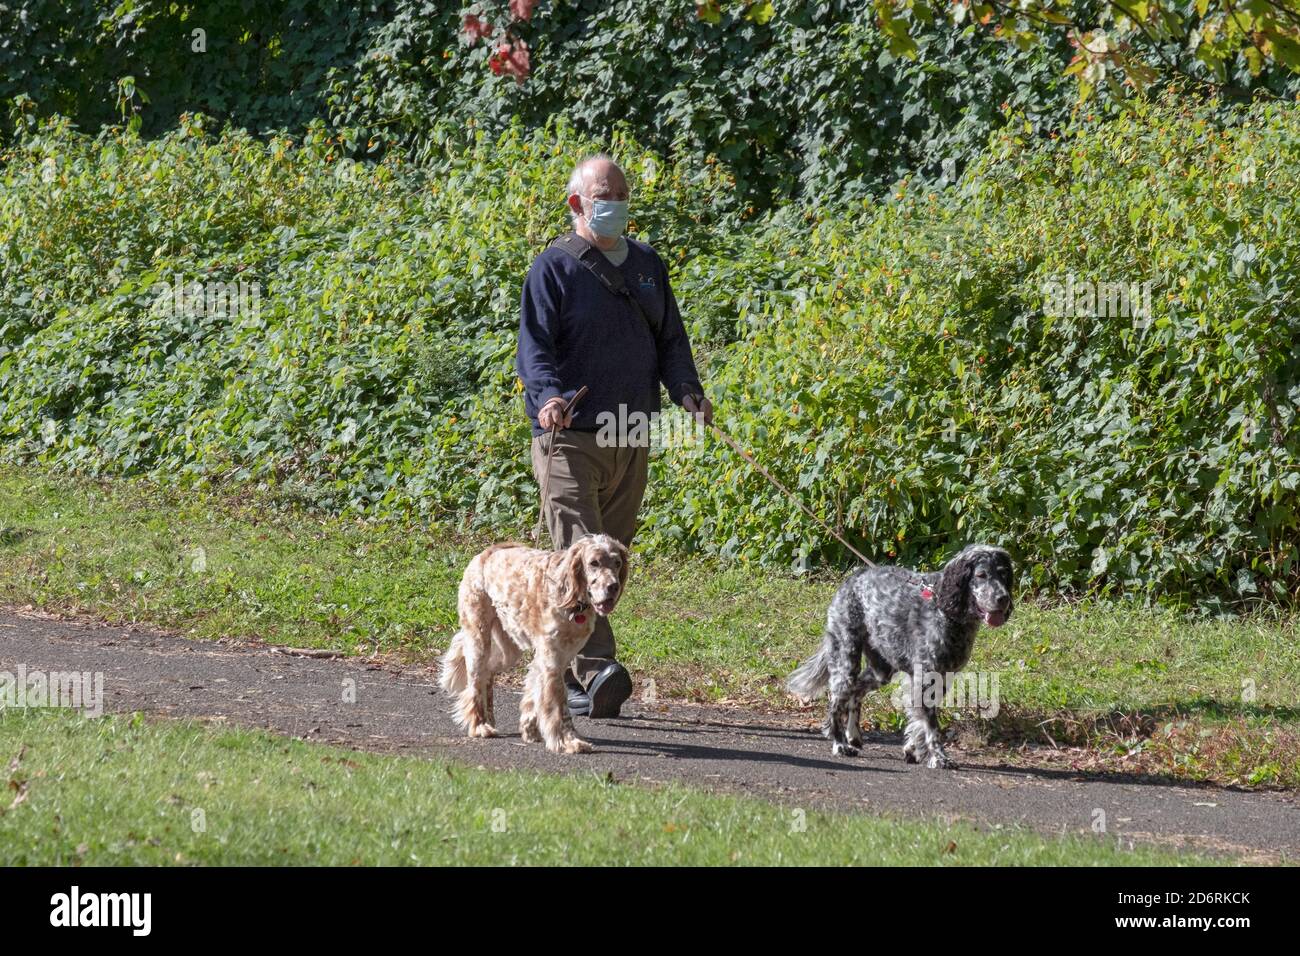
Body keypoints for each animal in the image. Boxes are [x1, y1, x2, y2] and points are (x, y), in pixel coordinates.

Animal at [436, 535, 629, 749]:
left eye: (617, 563)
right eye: (594, 563)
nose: (613, 587)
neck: (572, 599)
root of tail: (488, 551)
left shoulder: (556, 658)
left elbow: (534, 694)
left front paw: (530, 729)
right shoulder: (552, 659)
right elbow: (559, 705)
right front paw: (568, 741)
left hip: (508, 650)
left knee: (487, 671)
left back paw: (489, 719)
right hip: (479, 638)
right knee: (475, 681)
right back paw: (479, 725)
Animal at [785, 546, 1008, 770]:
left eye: (1003, 573)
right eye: (981, 575)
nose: (1003, 598)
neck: (943, 608)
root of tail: (855, 576)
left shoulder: (940, 680)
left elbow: (918, 722)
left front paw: (912, 749)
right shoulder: (926, 679)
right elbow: (931, 727)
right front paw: (938, 757)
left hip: (881, 670)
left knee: (856, 692)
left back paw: (853, 735)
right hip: (846, 660)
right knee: (836, 703)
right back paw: (839, 743)